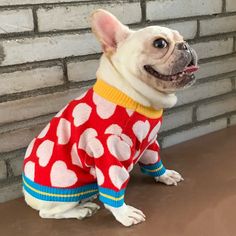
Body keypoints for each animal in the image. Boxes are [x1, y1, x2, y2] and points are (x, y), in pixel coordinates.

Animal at [23, 9, 198, 227]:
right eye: (160, 43)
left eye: (182, 38)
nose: (186, 45)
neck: (131, 95)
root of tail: (27, 196)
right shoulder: (110, 150)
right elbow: (113, 186)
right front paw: (124, 213)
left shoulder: (149, 142)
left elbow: (153, 160)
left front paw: (164, 175)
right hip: (64, 185)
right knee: (48, 213)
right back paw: (81, 210)